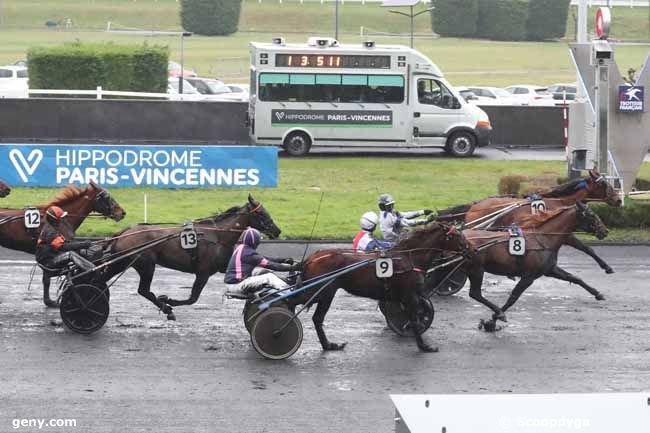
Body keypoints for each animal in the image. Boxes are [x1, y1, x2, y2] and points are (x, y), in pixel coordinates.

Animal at [102, 194, 280, 318]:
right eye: (262, 213)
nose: (277, 231)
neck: (218, 236)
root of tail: (124, 232)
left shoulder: (223, 266)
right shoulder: (203, 272)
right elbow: (193, 298)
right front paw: (168, 301)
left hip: (122, 262)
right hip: (146, 265)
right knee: (143, 290)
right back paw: (166, 309)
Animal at [290, 221, 466, 352]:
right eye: (457, 235)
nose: (469, 247)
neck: (408, 257)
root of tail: (311, 258)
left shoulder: (404, 294)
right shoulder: (409, 295)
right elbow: (414, 318)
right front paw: (424, 346)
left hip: (324, 293)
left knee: (316, 318)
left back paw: (328, 345)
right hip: (321, 291)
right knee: (296, 304)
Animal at [438, 170, 620, 276]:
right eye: (604, 184)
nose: (618, 200)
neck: (561, 202)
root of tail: (473, 206)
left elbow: (586, 248)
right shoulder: (564, 231)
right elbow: (586, 248)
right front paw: (607, 267)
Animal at [458, 202, 604, 330]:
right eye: (591, 214)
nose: (604, 231)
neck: (543, 239)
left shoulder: (550, 270)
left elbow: (574, 278)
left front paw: (597, 293)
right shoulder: (529, 276)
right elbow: (513, 297)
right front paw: (493, 320)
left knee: (475, 293)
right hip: (476, 269)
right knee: (475, 293)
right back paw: (498, 312)